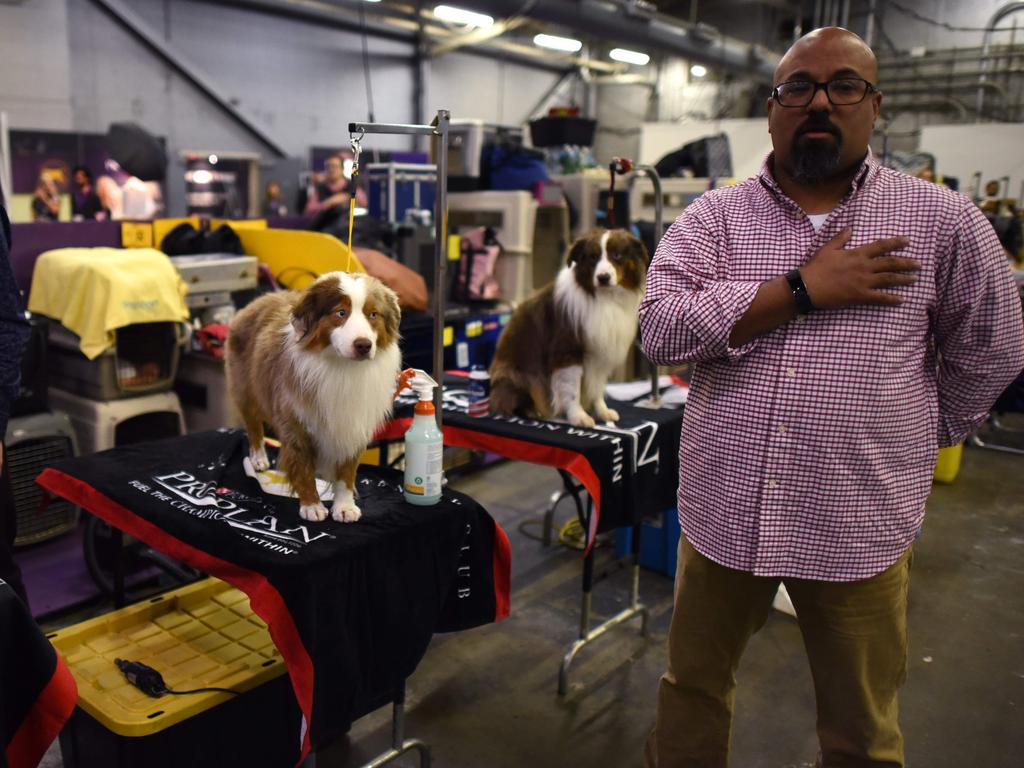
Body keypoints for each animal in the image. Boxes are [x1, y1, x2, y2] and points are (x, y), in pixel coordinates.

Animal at [226, 270, 401, 524]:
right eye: (341, 313)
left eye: (373, 314)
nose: (364, 345)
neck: (342, 368)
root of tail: (260, 299)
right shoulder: (295, 422)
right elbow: (303, 467)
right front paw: (311, 505)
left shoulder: (352, 425)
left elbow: (346, 473)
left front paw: (344, 506)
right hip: (245, 388)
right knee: (253, 425)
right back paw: (258, 458)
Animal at [489, 228, 647, 434]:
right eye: (593, 257)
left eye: (617, 255)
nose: (603, 277)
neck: (604, 297)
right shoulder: (567, 350)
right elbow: (571, 388)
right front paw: (578, 416)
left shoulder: (600, 353)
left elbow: (597, 386)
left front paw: (602, 411)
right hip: (515, 375)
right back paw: (534, 411)